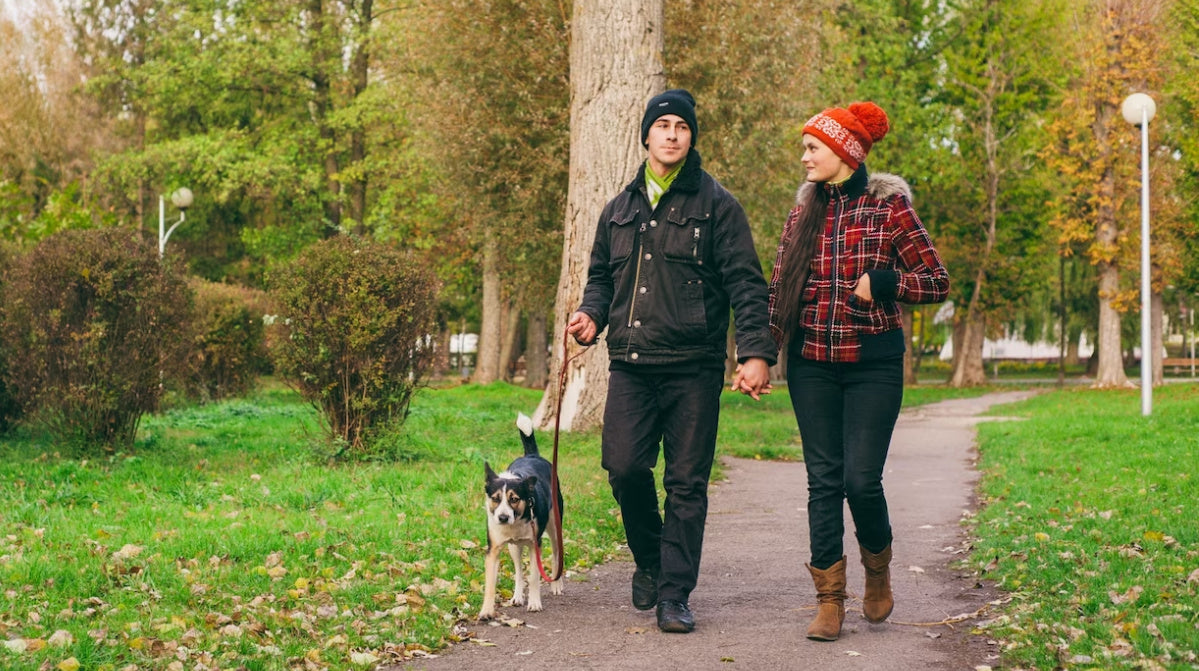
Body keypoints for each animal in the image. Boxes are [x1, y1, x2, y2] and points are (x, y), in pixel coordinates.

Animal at [479, 412, 563, 623]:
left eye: (514, 499)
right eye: (495, 498)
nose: (502, 517)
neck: (516, 522)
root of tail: (532, 456)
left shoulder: (535, 544)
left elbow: (534, 576)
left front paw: (534, 603)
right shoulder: (494, 548)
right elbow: (491, 583)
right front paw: (486, 610)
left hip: (554, 526)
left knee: (556, 554)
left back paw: (556, 584)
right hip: (513, 547)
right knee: (518, 570)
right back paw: (517, 596)